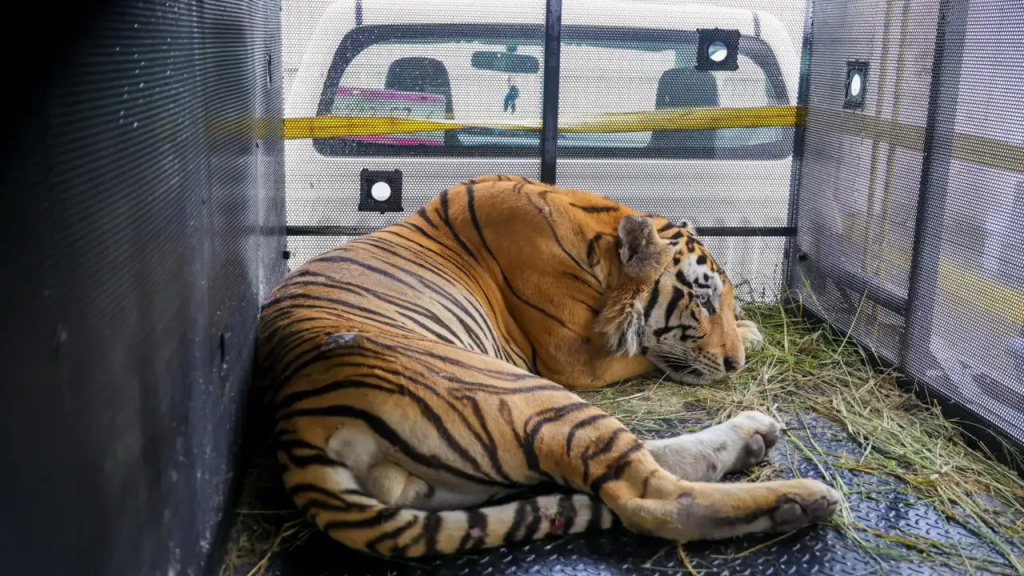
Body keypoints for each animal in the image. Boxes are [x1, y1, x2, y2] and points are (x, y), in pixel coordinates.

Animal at [258, 175, 839, 557]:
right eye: (702, 299)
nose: (735, 364)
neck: (596, 240)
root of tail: (295, 426)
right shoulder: (574, 360)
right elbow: (648, 355)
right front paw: (751, 336)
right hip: (521, 389)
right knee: (651, 499)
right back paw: (800, 499)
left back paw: (754, 435)